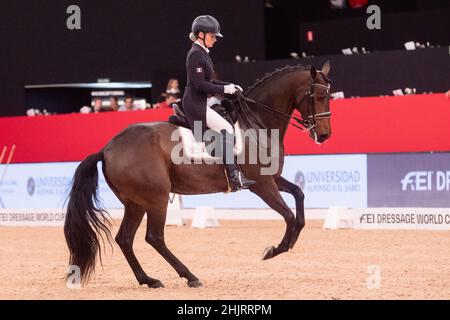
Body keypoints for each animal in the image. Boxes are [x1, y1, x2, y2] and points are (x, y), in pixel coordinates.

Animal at [64, 61, 330, 288]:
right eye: (319, 96)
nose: (324, 135)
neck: (257, 124)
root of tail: (108, 148)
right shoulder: (263, 185)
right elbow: (289, 216)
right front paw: (274, 250)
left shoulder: (273, 179)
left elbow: (299, 197)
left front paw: (290, 242)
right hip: (156, 198)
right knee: (154, 237)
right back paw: (190, 276)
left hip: (135, 203)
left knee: (125, 239)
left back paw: (149, 280)